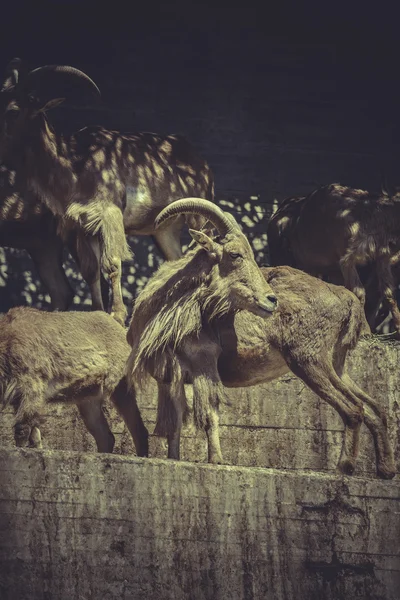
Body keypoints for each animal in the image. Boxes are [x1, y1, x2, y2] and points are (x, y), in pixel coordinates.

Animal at [0, 57, 214, 324]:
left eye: (13, 111)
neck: (73, 164)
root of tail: (202, 161)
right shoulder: (83, 226)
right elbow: (91, 271)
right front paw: (98, 311)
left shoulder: (109, 215)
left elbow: (111, 264)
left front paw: (117, 315)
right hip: (165, 230)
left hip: (198, 215)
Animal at [0, 310, 148, 454]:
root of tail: (121, 329)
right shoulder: (20, 397)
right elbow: (34, 433)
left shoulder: (32, 385)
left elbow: (22, 428)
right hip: (88, 400)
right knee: (106, 437)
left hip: (120, 387)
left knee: (139, 429)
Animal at [126, 199, 396, 480]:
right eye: (235, 255)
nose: (271, 299)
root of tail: (348, 300)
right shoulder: (170, 376)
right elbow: (175, 420)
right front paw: (174, 457)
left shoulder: (204, 363)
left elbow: (209, 413)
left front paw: (217, 459)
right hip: (337, 365)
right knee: (376, 410)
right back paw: (385, 469)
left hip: (309, 361)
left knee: (353, 409)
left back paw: (344, 466)